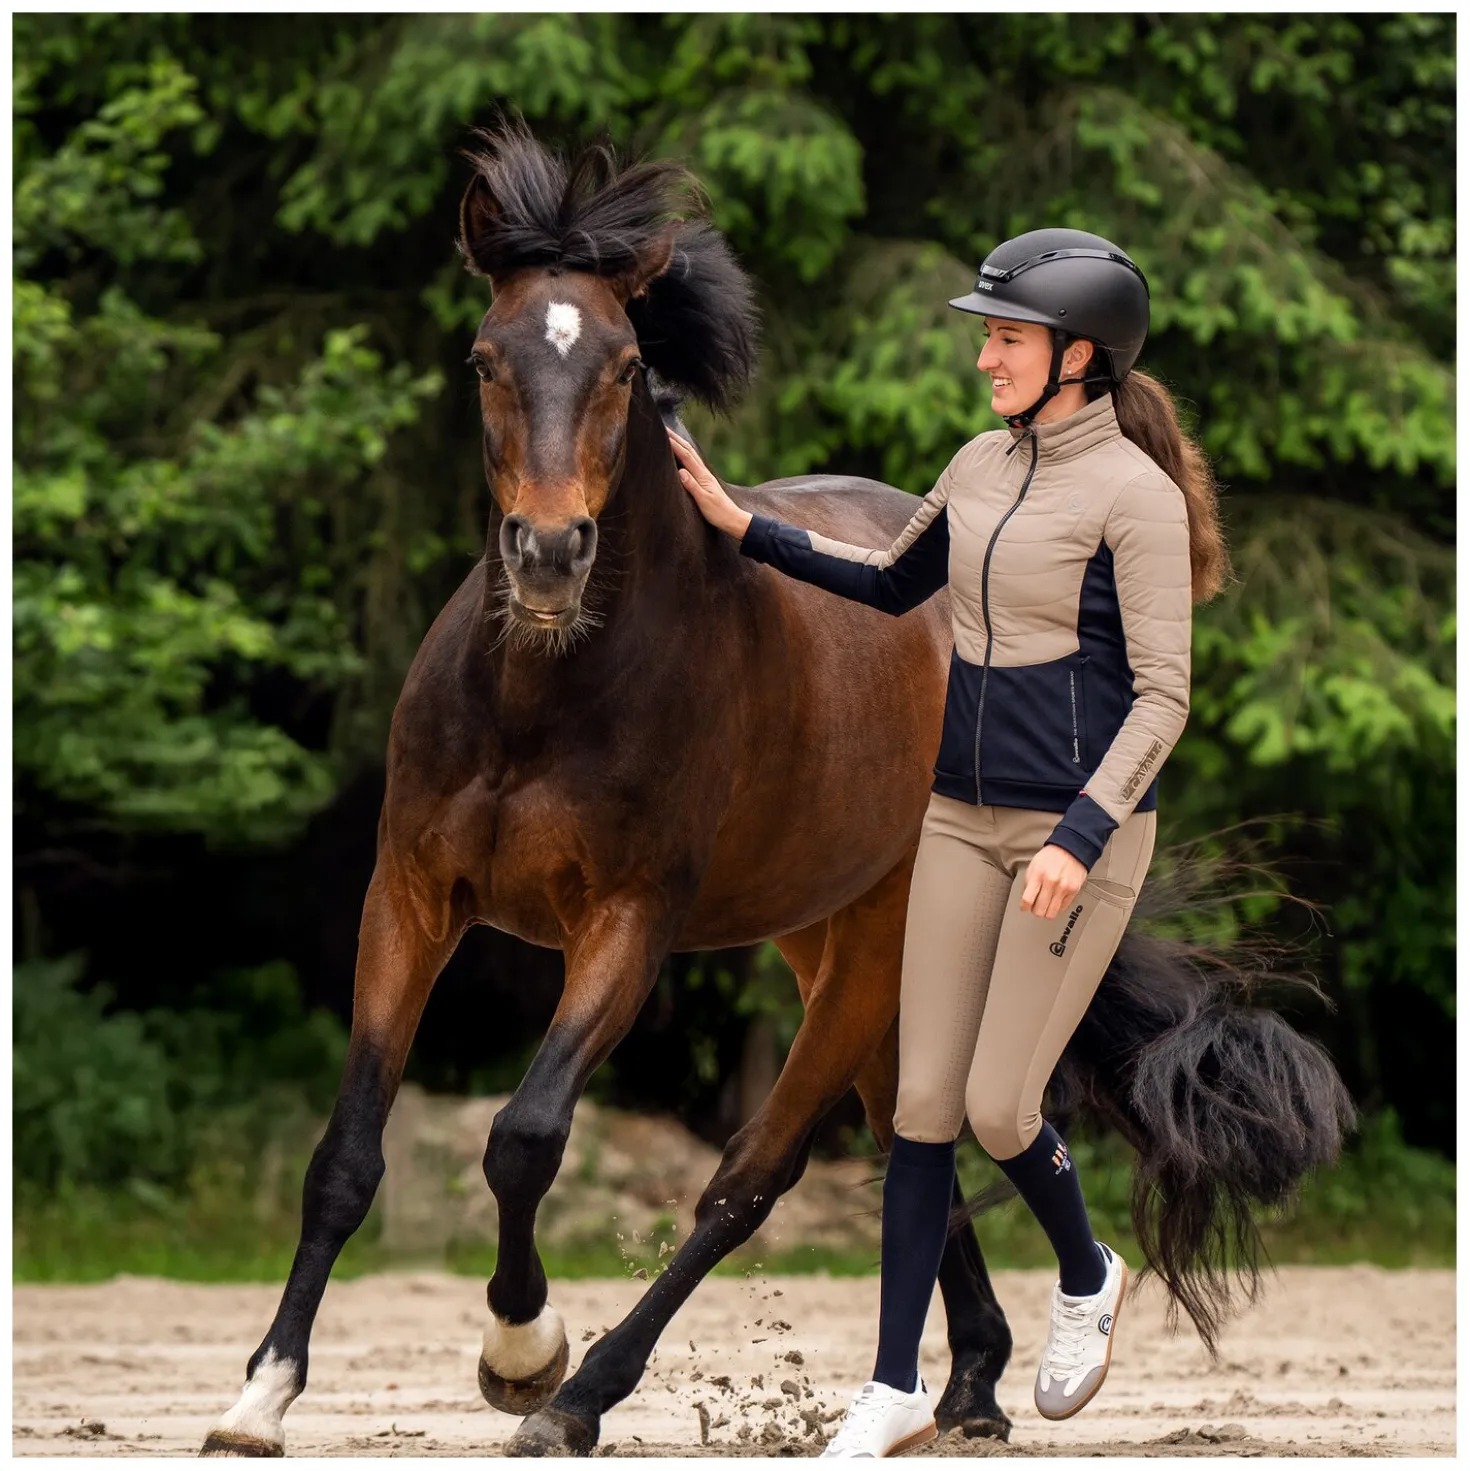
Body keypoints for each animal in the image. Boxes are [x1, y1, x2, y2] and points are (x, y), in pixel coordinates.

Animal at [200, 121, 1352, 1458]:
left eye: (624, 365)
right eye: (487, 359)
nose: (549, 556)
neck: (541, 693)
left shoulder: (628, 925)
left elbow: (526, 1137)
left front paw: (524, 1353)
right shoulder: (412, 898)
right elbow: (346, 1152)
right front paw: (261, 1394)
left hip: (876, 945)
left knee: (765, 1173)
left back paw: (595, 1394)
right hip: (833, 942)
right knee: (919, 1129)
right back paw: (968, 1384)